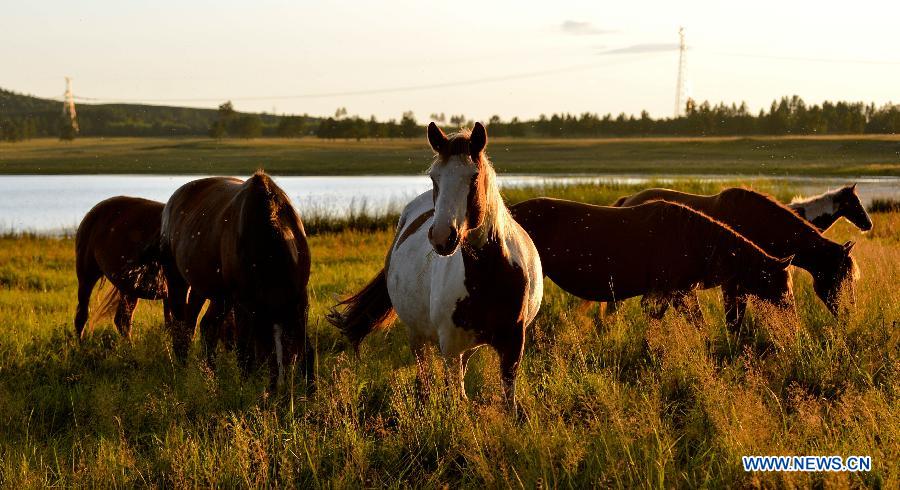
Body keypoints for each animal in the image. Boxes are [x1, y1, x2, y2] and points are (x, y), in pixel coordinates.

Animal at [160, 172, 314, 390]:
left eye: (291, 356)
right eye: (266, 356)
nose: (279, 387)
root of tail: (172, 201)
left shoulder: (299, 299)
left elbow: (308, 350)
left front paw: (311, 391)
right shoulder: (245, 304)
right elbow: (245, 353)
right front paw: (245, 388)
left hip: (213, 292)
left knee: (205, 327)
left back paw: (211, 376)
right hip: (177, 280)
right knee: (182, 329)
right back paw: (183, 373)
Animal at [330, 122, 540, 414]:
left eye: (474, 176)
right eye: (434, 177)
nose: (442, 236)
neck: (489, 277)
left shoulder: (512, 346)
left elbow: (509, 404)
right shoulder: (450, 347)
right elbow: (457, 398)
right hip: (418, 337)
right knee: (425, 378)